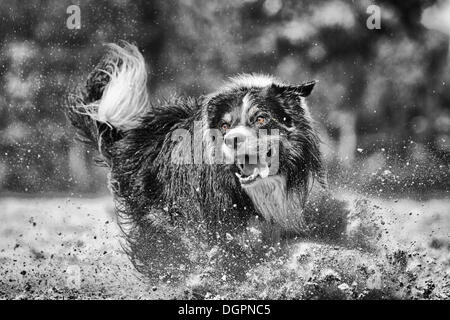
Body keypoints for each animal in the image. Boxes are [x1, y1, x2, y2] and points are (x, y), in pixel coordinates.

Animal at [66, 42, 344, 282]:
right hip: (158, 215)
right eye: (225, 125)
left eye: (261, 119)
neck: (261, 189)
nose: (231, 140)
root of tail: (132, 137)